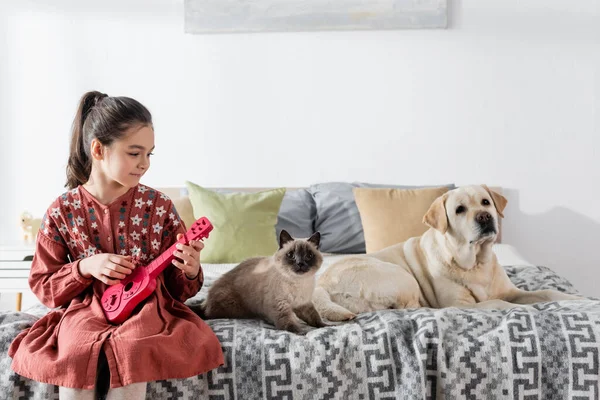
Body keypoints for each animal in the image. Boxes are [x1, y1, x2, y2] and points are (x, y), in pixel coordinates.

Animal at [314, 185, 580, 322]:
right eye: (460, 209)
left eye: (485, 202)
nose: (485, 217)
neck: (476, 263)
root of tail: (321, 285)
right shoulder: (463, 304)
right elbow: (498, 303)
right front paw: (530, 311)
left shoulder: (512, 291)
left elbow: (547, 292)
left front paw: (577, 300)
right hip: (401, 276)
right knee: (415, 308)